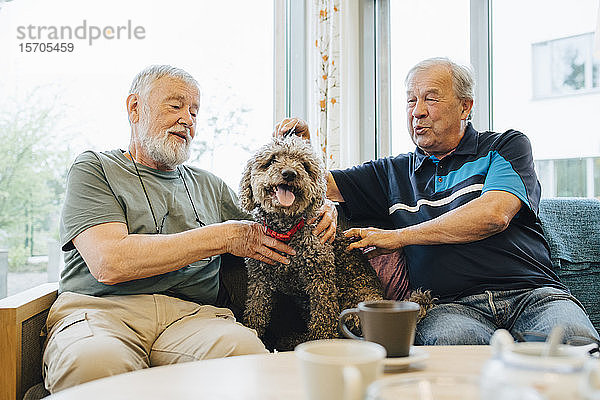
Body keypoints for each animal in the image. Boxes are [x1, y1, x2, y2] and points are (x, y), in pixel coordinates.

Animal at [240, 136, 384, 348]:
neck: (286, 229)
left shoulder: (321, 279)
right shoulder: (260, 279)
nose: (289, 174)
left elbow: (324, 317)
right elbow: (255, 312)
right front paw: (254, 332)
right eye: (272, 160)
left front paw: (321, 341)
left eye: (304, 165)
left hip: (357, 306)